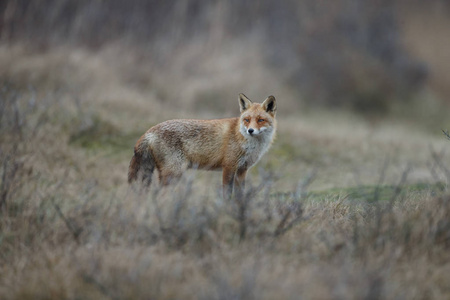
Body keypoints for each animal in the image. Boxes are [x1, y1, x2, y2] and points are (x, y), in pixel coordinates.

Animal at [128, 92, 276, 198]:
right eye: (247, 120)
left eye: (260, 120)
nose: (250, 130)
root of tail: (149, 131)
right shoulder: (229, 167)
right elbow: (227, 194)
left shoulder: (242, 170)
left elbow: (241, 196)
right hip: (174, 173)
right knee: (159, 194)